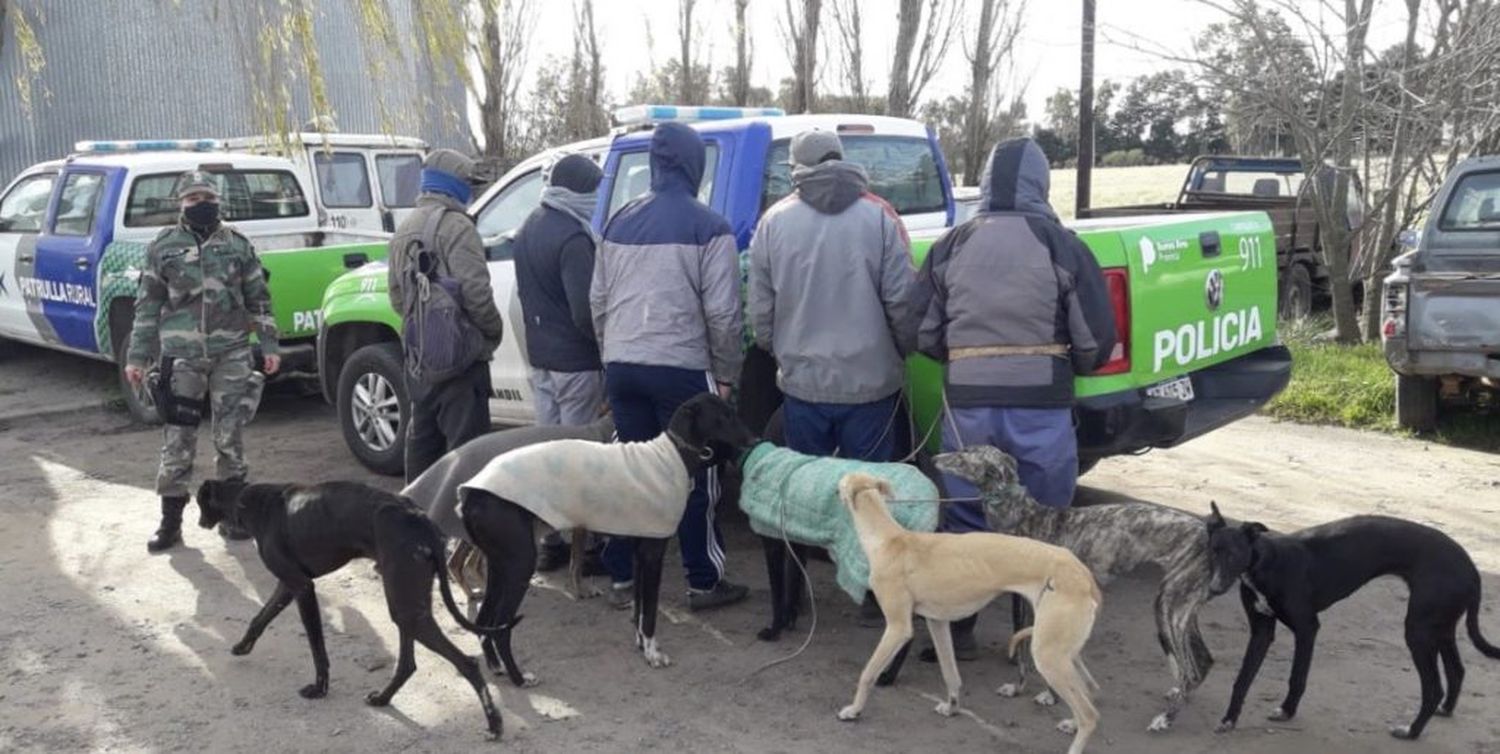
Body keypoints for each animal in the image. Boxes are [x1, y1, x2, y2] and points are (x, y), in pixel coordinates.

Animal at [196, 479, 513, 740]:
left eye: (198, 502)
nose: (198, 523)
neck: (251, 501)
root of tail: (420, 518)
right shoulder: (287, 586)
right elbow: (260, 618)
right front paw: (242, 646)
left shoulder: (302, 588)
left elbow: (317, 648)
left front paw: (319, 688)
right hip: (407, 605)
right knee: (407, 664)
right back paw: (383, 698)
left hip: (406, 607)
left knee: (466, 663)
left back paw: (494, 723)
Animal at [456, 398, 756, 680]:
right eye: (724, 415)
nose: (754, 440)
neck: (671, 456)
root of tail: (472, 493)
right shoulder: (653, 553)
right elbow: (650, 612)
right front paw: (653, 654)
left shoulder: (640, 549)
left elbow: (639, 608)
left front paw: (641, 645)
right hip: (519, 565)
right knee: (501, 627)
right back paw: (520, 678)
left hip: (500, 565)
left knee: (485, 620)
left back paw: (496, 667)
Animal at [1206, 503, 1500, 740]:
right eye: (1212, 552)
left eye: (1234, 554)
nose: (1214, 588)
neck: (1266, 562)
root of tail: (1472, 569)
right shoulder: (1261, 631)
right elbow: (1242, 679)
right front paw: (1229, 719)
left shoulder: (1307, 628)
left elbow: (1297, 676)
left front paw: (1287, 711)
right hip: (1440, 627)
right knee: (1457, 670)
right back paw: (1445, 709)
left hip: (1419, 631)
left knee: (1433, 688)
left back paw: (1411, 732)